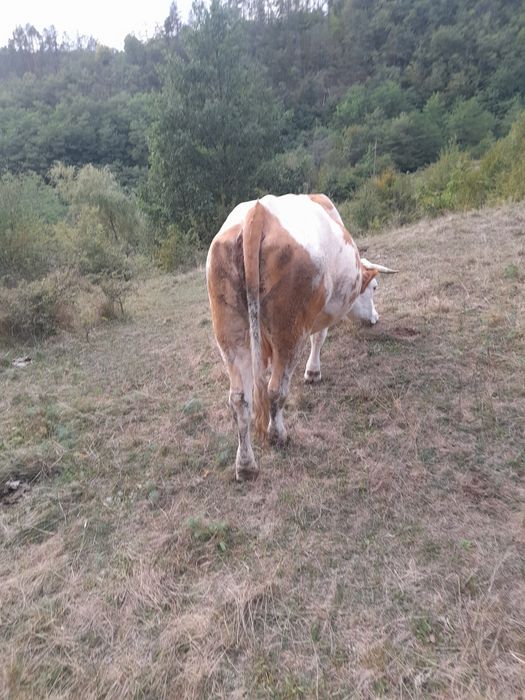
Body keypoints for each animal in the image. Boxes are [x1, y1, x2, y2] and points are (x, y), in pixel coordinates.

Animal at [206, 193, 397, 481]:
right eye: (374, 288)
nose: (376, 317)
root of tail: (259, 212)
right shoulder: (321, 314)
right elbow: (319, 338)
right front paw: (313, 372)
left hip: (231, 332)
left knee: (241, 400)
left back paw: (246, 466)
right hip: (290, 331)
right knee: (275, 390)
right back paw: (278, 436)